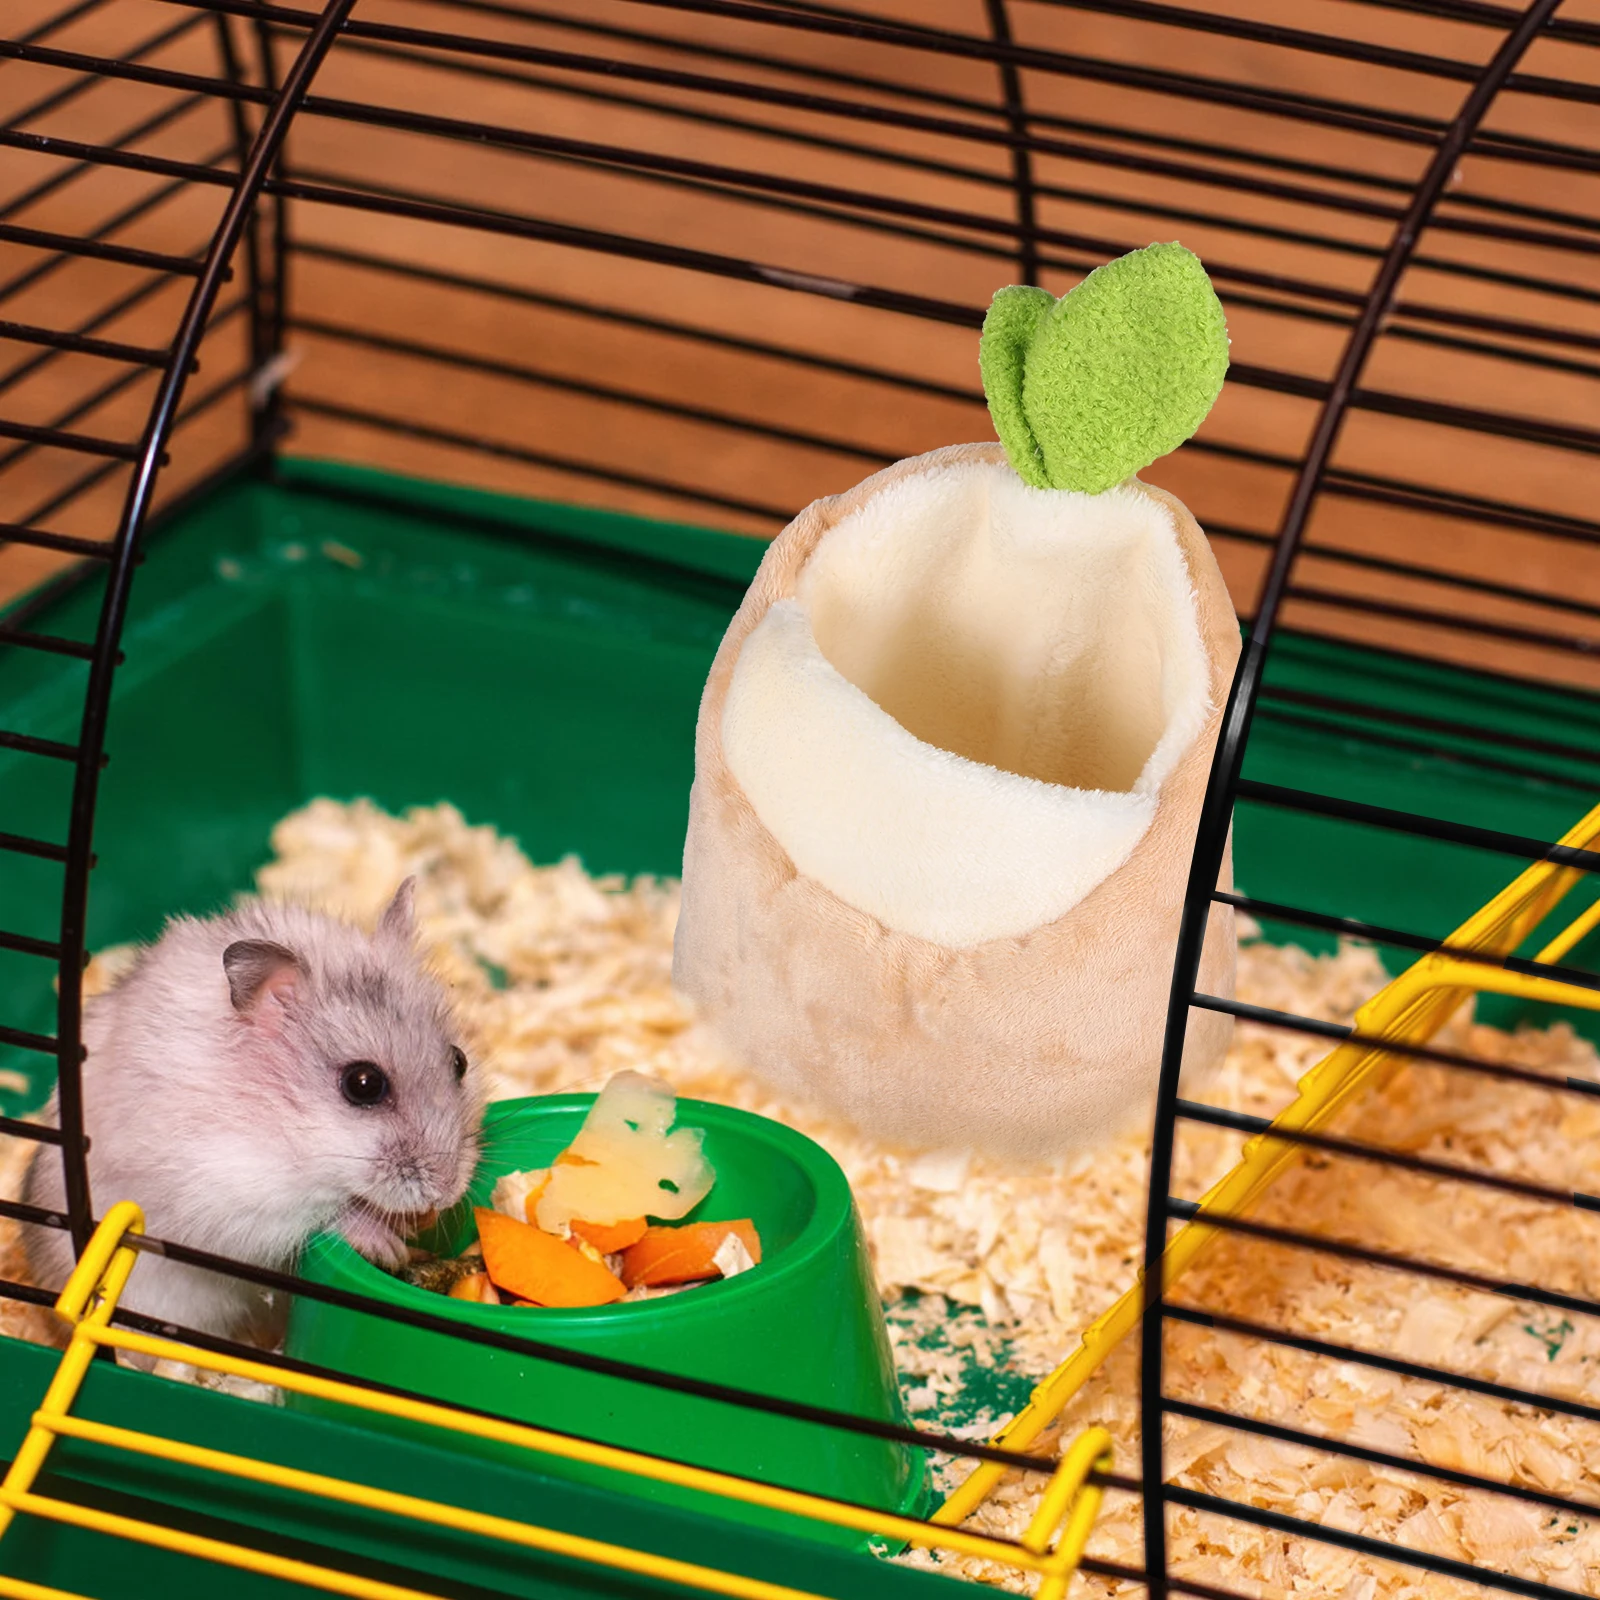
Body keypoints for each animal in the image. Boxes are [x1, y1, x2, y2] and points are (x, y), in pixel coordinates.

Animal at [22, 878, 484, 1349]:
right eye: (363, 1084)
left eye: (459, 1061)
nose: (446, 1192)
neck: (282, 1119)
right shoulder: (235, 1193)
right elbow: (325, 1215)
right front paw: (389, 1245)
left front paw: (420, 1223)